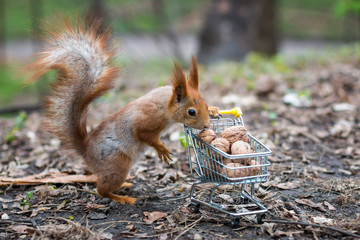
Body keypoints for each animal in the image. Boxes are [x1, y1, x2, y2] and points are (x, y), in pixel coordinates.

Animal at [27, 18, 219, 204]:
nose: (206, 125)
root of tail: (85, 149)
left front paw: (215, 110)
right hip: (117, 164)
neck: (164, 104)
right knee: (101, 190)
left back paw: (124, 186)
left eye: (205, 103)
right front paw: (161, 148)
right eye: (191, 112)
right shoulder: (147, 120)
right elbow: (144, 134)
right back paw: (123, 198)